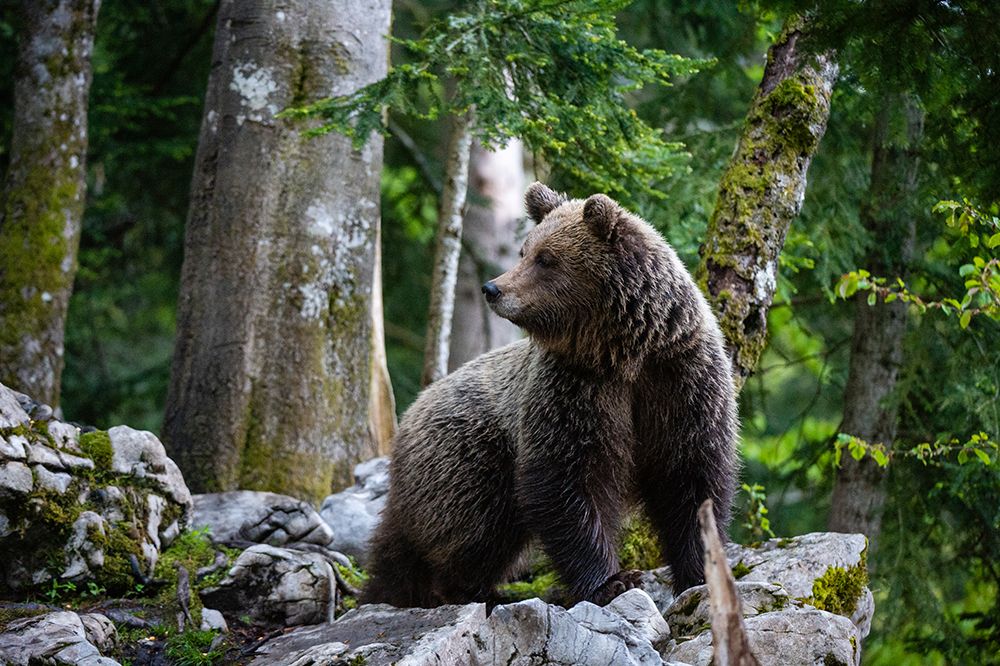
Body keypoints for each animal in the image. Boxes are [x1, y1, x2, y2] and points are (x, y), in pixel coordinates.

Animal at [362, 183, 738, 608]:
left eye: (545, 258)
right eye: (525, 251)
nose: (493, 288)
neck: (623, 352)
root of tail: (407, 417)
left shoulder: (681, 381)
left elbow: (691, 478)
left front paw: (701, 572)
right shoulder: (574, 390)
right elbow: (566, 481)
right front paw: (611, 580)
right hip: (469, 454)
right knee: (472, 526)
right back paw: (473, 591)